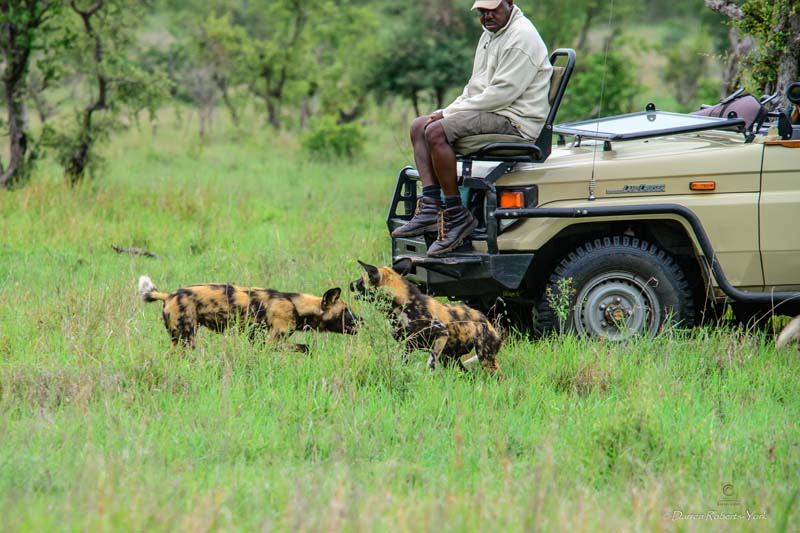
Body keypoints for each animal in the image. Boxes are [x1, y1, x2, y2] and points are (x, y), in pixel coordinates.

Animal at [138, 276, 360, 352]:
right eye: (345, 311)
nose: (362, 321)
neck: (295, 305)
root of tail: (169, 294)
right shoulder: (273, 342)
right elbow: (305, 348)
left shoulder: (256, 338)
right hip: (186, 338)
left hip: (181, 339)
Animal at [350, 260, 500, 372]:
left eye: (361, 280)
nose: (350, 284)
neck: (403, 305)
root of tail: (489, 324)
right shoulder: (408, 345)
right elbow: (403, 364)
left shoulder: (441, 332)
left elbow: (430, 364)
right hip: (450, 359)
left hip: (485, 359)